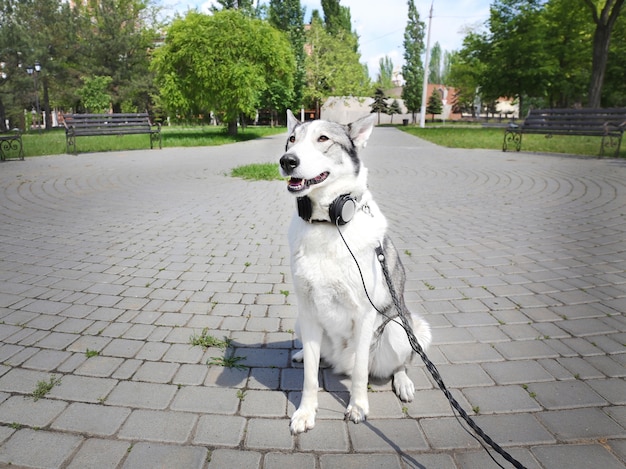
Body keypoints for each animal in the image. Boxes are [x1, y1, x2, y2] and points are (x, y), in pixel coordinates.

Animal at [278, 109, 428, 432]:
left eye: (323, 139)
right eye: (292, 139)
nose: (287, 161)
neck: (328, 223)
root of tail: (339, 361)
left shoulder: (364, 314)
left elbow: (360, 373)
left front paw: (358, 407)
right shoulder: (308, 311)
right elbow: (310, 378)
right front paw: (305, 412)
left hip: (399, 328)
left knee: (401, 362)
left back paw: (403, 382)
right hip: (301, 322)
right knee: (317, 357)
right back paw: (302, 354)